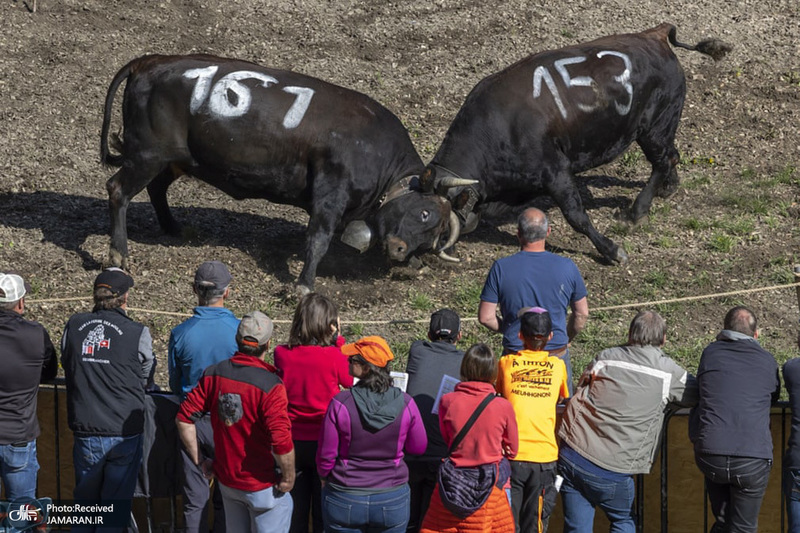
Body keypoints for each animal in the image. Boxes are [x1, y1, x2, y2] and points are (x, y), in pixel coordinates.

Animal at [102, 54, 472, 290]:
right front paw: (304, 285)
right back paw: (119, 252)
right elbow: (318, 240)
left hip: (174, 157)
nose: (398, 250)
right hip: (147, 154)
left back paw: (172, 227)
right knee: (118, 189)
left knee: (156, 188)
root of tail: (149, 61)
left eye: (437, 235)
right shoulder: (330, 192)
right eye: (424, 212)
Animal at [424, 23, 732, 264]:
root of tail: (654, 35)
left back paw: (636, 212)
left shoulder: (556, 172)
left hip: (653, 127)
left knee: (663, 160)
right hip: (661, 127)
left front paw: (612, 250)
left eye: (434, 220)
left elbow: (576, 216)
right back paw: (668, 188)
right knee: (672, 155)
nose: (414, 256)